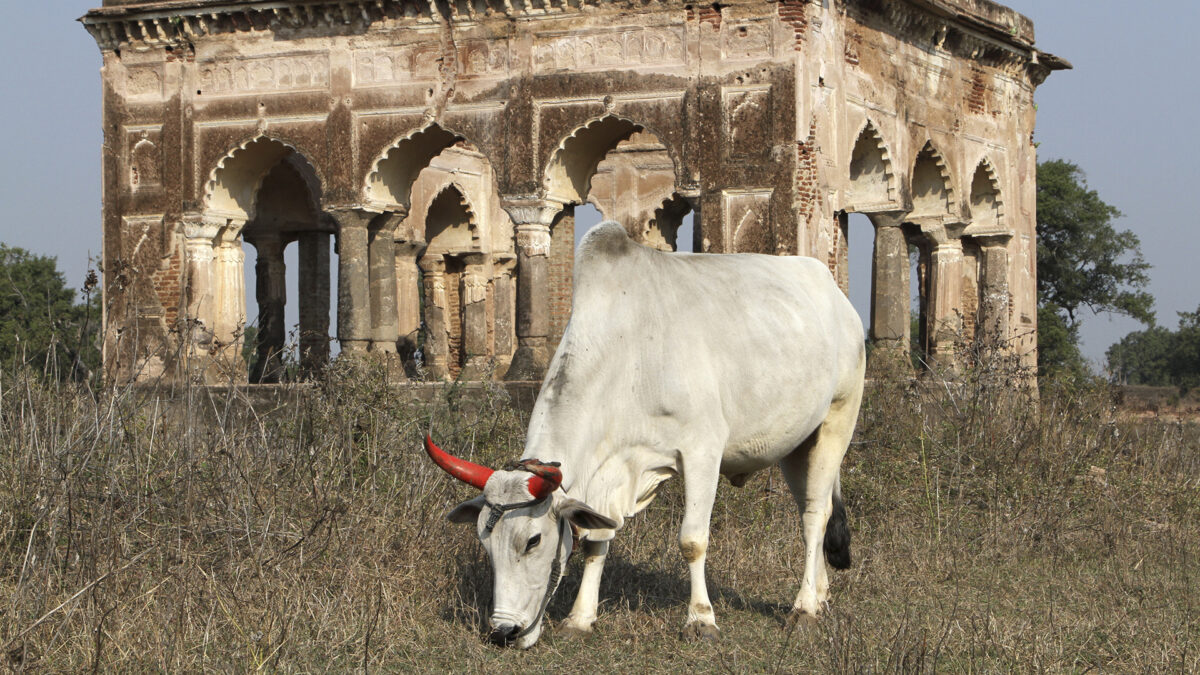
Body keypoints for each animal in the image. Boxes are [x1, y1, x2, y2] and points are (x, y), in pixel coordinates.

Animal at [427, 220, 868, 648]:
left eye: (533, 540)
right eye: (485, 543)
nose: (504, 632)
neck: (630, 353)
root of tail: (834, 294)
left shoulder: (702, 452)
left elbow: (692, 540)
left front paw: (701, 620)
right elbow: (596, 540)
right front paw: (580, 618)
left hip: (837, 421)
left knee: (814, 517)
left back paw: (804, 608)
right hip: (796, 445)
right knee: (810, 506)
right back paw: (821, 594)